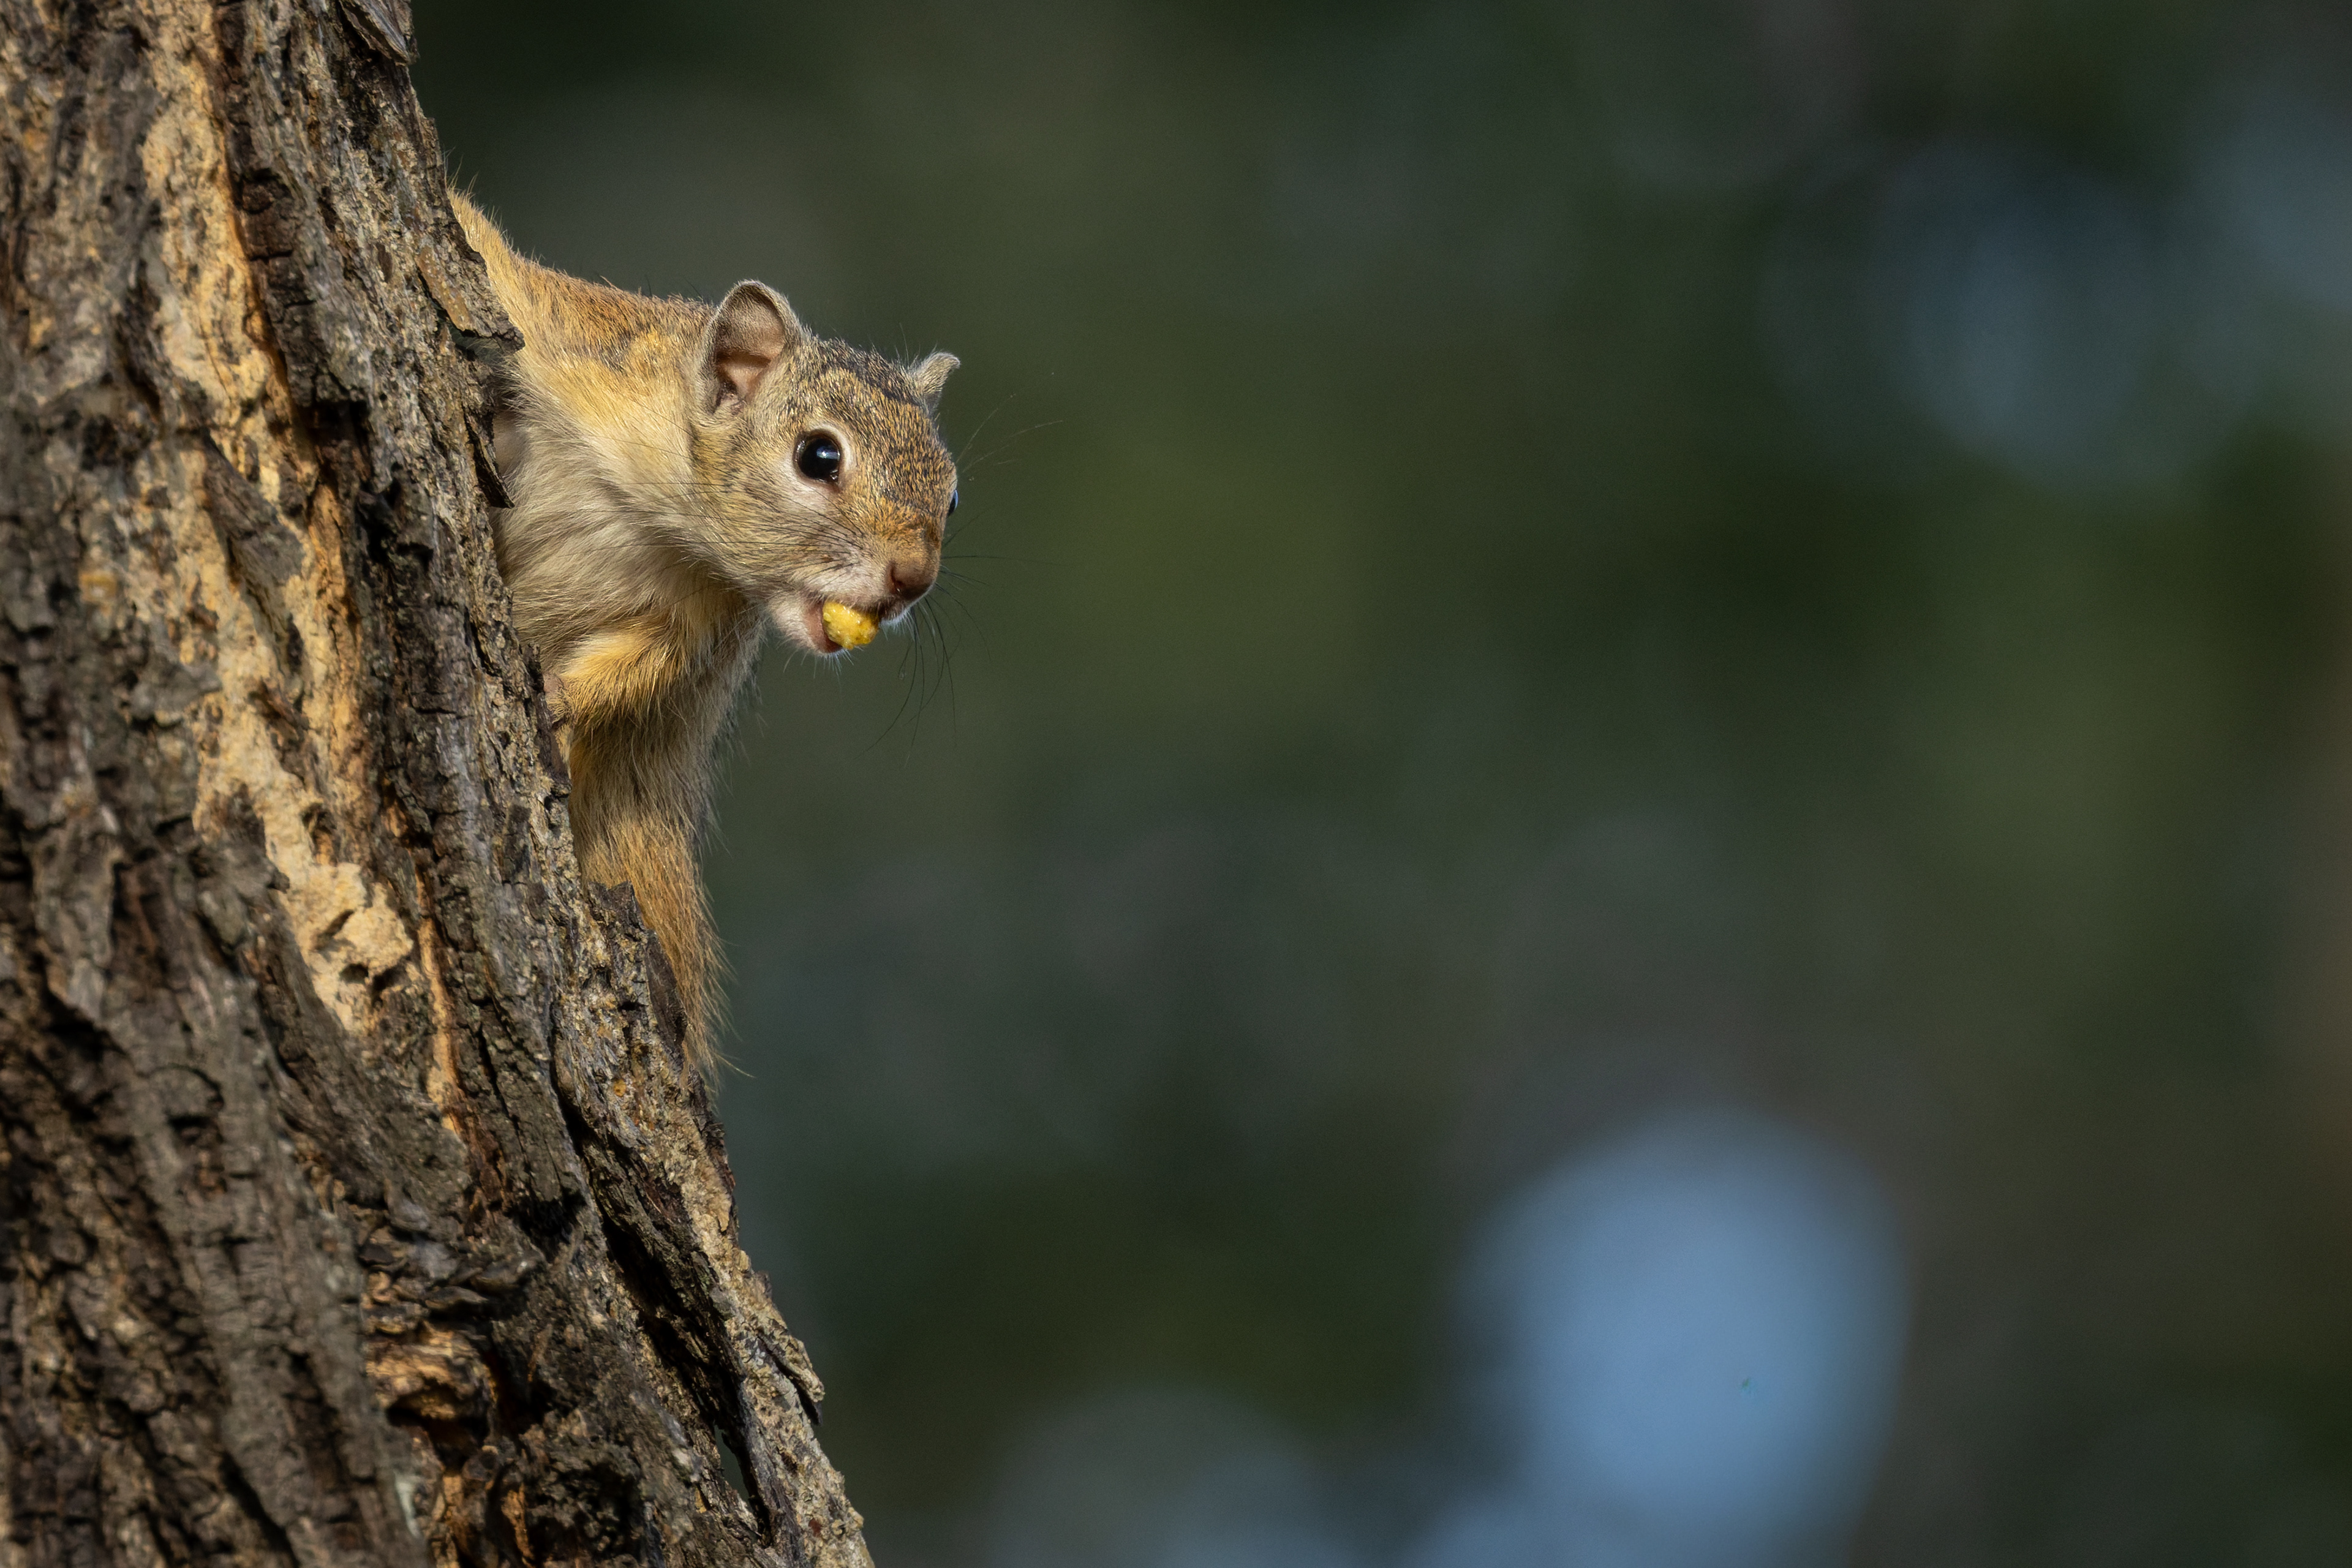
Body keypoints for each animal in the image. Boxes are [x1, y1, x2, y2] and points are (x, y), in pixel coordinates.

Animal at [453, 195, 959, 1071]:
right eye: (818, 456)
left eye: (953, 496)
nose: (912, 579)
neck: (663, 507)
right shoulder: (571, 339)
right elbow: (494, 259)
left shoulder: (697, 620)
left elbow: (640, 671)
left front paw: (560, 698)